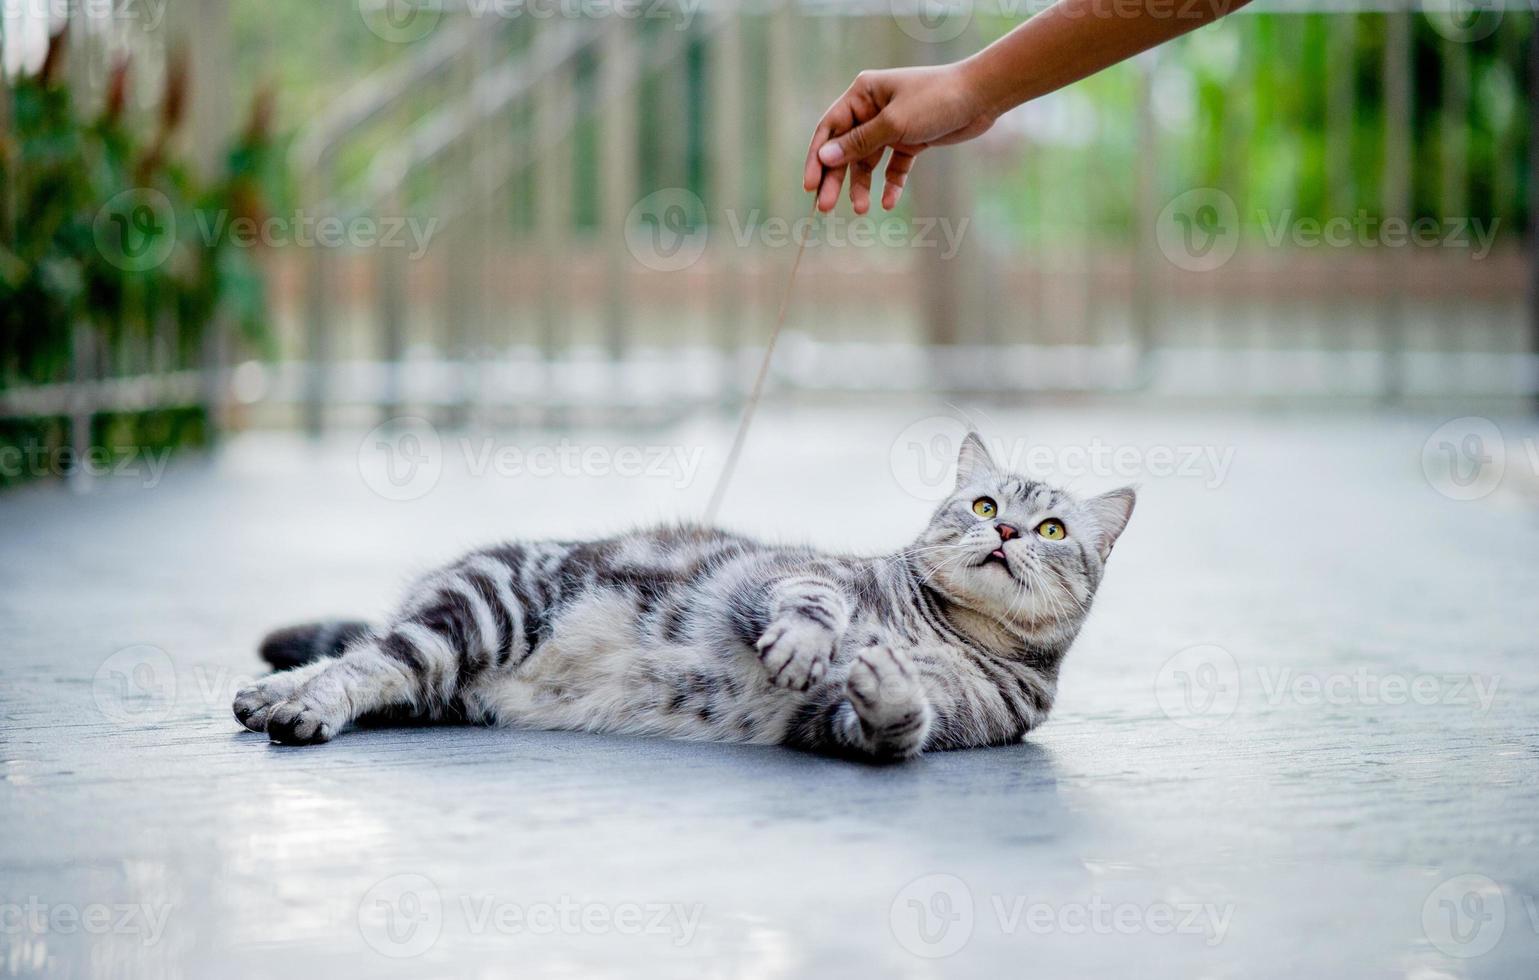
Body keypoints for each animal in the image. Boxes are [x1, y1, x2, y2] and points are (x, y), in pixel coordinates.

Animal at [230, 430, 1132, 760]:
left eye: (1051, 528)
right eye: (981, 506)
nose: (1006, 532)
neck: (950, 632)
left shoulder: (855, 722)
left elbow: (894, 723)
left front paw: (887, 683)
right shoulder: (786, 576)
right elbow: (813, 601)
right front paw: (813, 640)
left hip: (444, 682)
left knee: (366, 659)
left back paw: (267, 696)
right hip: (481, 614)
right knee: (365, 661)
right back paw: (296, 705)